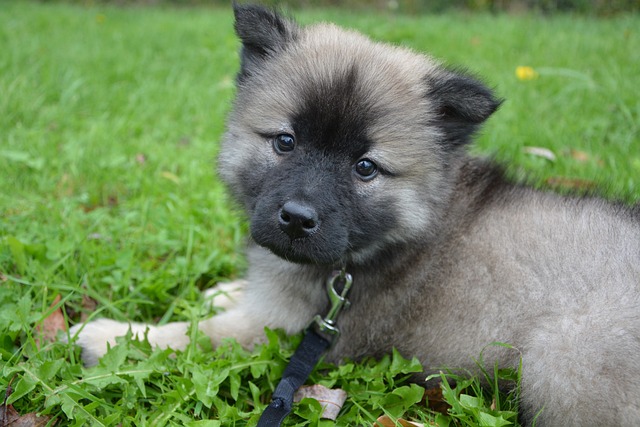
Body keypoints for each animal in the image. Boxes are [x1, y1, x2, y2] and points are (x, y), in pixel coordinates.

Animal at [70, 5, 640, 426]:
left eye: (365, 168)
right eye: (285, 141)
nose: (297, 218)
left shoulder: (285, 332)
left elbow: (199, 337)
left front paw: (111, 336)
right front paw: (221, 289)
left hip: (560, 359)